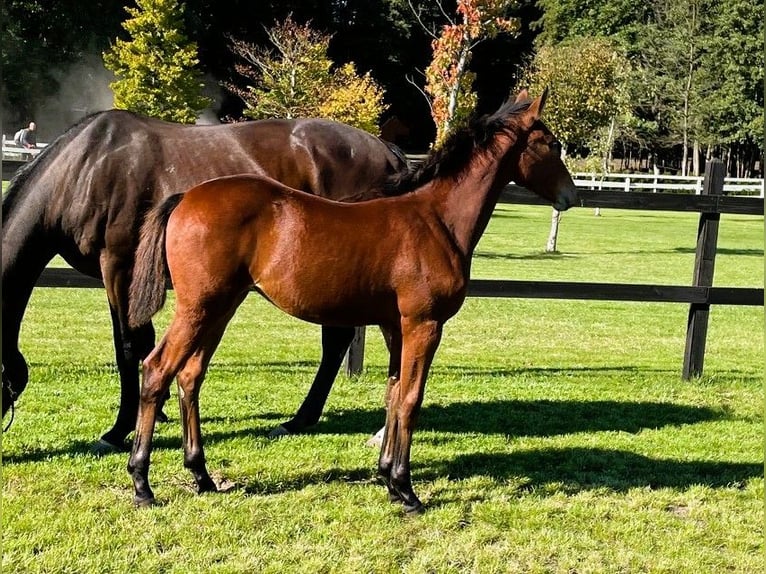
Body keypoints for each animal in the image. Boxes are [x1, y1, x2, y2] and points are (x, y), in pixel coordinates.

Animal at [2, 110, 408, 451]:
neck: (84, 169)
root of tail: (385, 151)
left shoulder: (118, 266)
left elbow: (128, 346)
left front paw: (118, 430)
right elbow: (144, 342)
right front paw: (159, 409)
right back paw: (301, 421)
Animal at [126, 89, 578, 513]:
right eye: (551, 144)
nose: (571, 196)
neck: (436, 221)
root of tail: (185, 197)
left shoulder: (395, 325)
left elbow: (393, 393)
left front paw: (389, 478)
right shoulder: (424, 323)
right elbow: (411, 399)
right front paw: (406, 489)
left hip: (221, 307)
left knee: (190, 376)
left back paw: (201, 476)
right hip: (199, 307)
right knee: (157, 370)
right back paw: (142, 483)